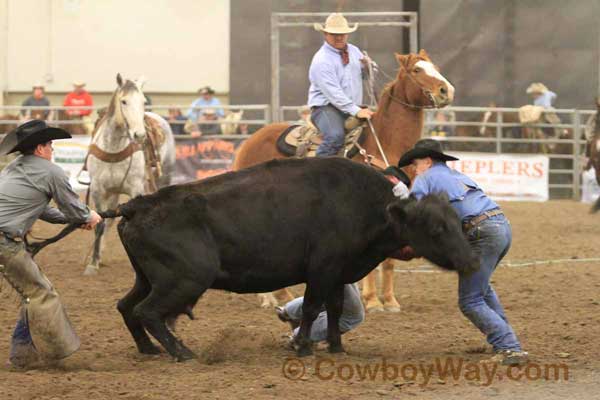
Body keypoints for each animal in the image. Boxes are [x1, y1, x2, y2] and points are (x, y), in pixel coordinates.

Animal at [86, 74, 176, 276]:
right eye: (124, 101)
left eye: (143, 101)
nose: (140, 135)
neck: (114, 149)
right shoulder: (98, 190)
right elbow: (100, 224)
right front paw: (93, 263)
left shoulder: (136, 189)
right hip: (113, 193)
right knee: (109, 221)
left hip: (163, 177)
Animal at [233, 50, 454, 312]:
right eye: (416, 70)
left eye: (436, 67)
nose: (446, 91)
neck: (385, 144)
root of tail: (250, 141)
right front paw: (372, 301)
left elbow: (388, 261)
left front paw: (390, 301)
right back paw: (273, 296)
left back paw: (278, 295)